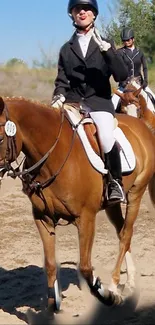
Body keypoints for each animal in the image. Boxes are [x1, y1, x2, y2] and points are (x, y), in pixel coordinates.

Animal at [0, 96, 155, 312]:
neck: (52, 155)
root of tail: (141, 125)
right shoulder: (43, 218)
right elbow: (50, 264)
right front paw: (52, 306)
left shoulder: (86, 218)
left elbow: (85, 268)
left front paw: (108, 295)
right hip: (112, 205)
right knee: (122, 231)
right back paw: (130, 282)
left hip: (136, 193)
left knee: (126, 235)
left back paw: (114, 286)